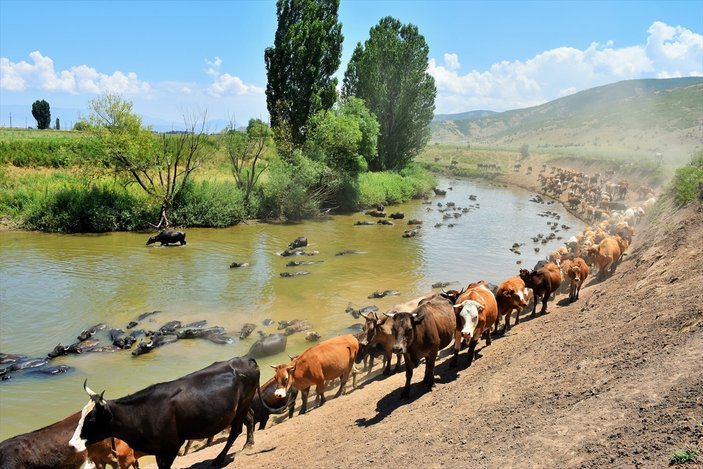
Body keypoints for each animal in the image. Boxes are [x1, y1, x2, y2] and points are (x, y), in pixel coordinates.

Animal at [69, 354, 260, 468]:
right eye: (80, 417)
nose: (72, 444)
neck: (140, 414)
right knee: (250, 419)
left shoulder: (171, 446)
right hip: (241, 407)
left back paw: (219, 459)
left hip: (242, 406)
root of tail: (245, 359)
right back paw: (249, 443)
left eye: (91, 419)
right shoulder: (159, 450)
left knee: (236, 431)